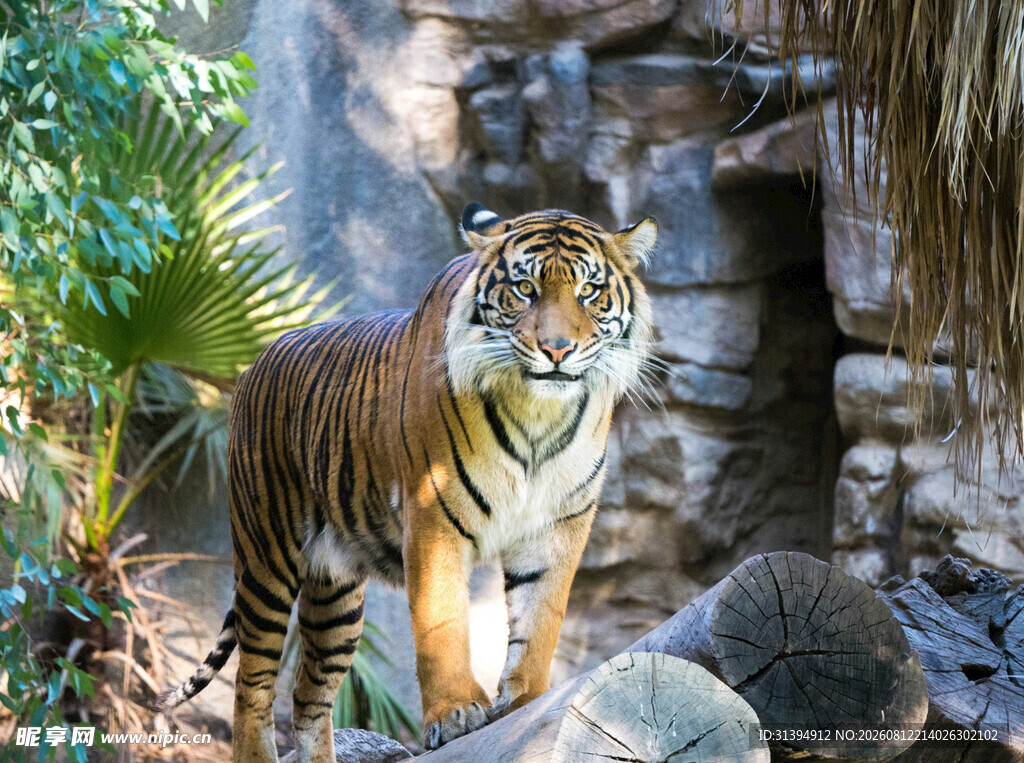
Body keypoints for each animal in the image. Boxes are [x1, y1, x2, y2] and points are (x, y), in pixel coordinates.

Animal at [155, 203, 658, 761]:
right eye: (525, 288)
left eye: (589, 291)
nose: (557, 349)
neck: (538, 414)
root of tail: (251, 366)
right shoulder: (434, 512)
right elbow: (442, 622)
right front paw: (456, 713)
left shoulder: (558, 523)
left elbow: (541, 616)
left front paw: (527, 701)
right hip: (267, 556)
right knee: (253, 683)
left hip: (335, 595)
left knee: (308, 695)